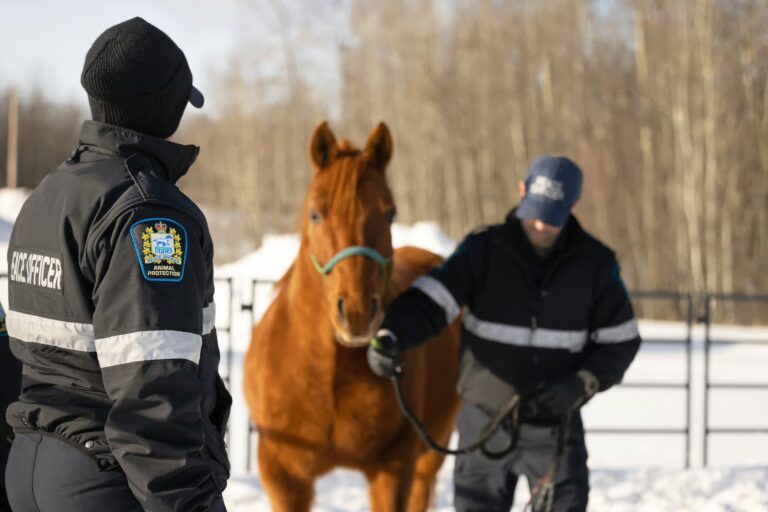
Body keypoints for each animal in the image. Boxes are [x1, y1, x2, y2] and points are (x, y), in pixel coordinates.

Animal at [243, 122, 461, 511]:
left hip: (432, 449)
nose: (358, 313)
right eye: (316, 213)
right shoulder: (283, 476)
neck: (326, 375)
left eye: (390, 213)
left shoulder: (393, 468)